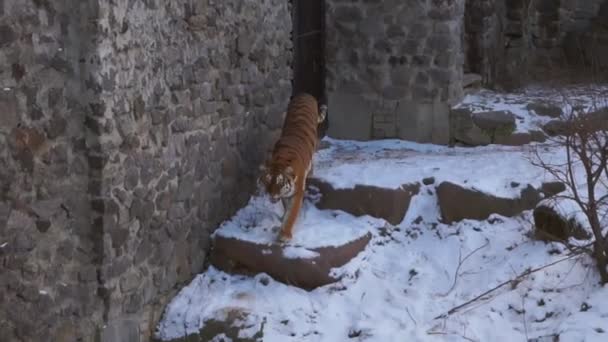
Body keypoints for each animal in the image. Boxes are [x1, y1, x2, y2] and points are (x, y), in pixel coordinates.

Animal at [258, 93, 328, 242]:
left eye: (279, 182)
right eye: (267, 181)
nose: (272, 195)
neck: (280, 161)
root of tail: (305, 94)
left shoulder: (297, 192)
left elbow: (292, 214)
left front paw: (284, 234)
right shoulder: (286, 193)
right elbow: (286, 208)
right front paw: (283, 219)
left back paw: (311, 172)